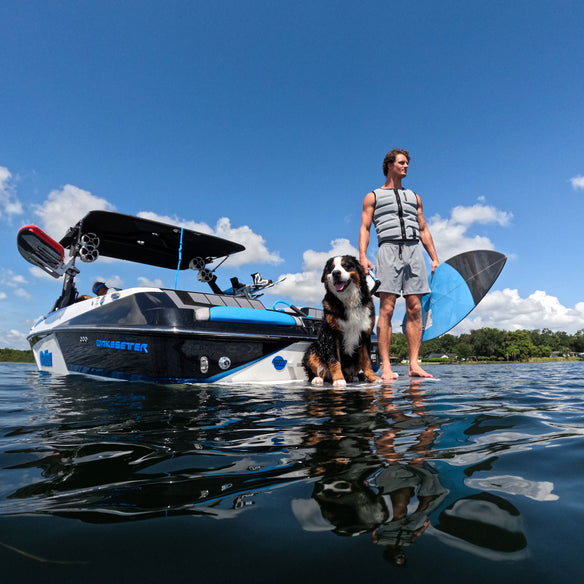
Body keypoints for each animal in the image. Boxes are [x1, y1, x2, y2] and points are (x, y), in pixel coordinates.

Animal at [304, 253, 380, 386]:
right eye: (331, 268)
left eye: (346, 266)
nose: (336, 273)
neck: (348, 301)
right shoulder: (332, 334)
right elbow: (334, 360)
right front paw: (339, 379)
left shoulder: (365, 334)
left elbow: (366, 360)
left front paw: (373, 377)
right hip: (312, 350)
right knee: (317, 370)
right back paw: (318, 378)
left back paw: (352, 377)